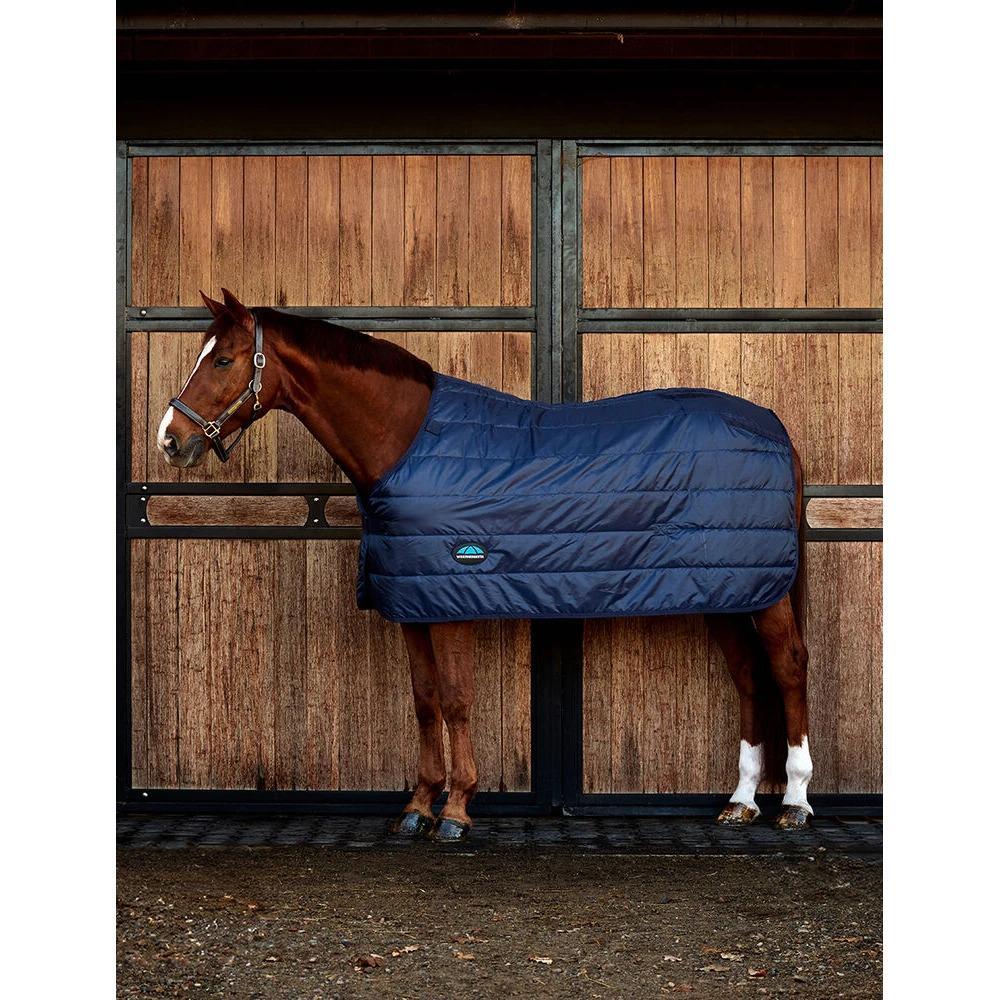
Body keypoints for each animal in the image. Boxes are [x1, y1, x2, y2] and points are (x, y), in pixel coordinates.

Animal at [157, 289, 813, 839]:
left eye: (223, 361)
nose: (169, 439)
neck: (407, 444)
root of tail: (775, 428)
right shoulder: (413, 602)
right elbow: (424, 701)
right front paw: (418, 806)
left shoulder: (452, 596)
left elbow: (454, 699)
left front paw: (456, 810)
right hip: (724, 590)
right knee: (748, 675)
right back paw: (741, 802)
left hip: (764, 593)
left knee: (786, 667)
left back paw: (795, 802)